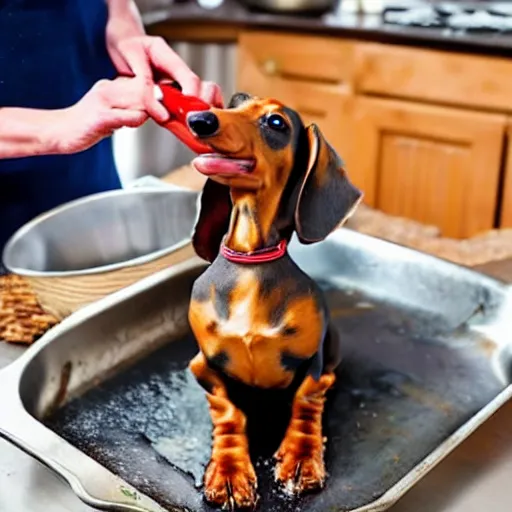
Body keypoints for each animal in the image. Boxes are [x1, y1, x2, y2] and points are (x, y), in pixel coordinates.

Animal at [186, 93, 362, 512]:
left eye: (276, 123)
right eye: (233, 102)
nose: (199, 119)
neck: (251, 264)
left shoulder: (311, 364)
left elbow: (305, 401)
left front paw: (301, 457)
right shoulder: (204, 365)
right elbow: (229, 412)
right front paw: (229, 470)